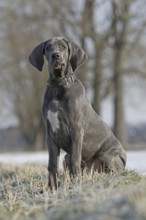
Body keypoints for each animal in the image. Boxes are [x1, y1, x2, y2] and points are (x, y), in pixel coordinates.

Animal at [28, 37, 126, 190]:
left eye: (63, 46)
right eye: (48, 48)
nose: (55, 55)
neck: (58, 86)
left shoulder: (76, 130)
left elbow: (75, 160)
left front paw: (75, 186)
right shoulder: (50, 135)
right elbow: (52, 165)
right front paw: (52, 189)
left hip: (108, 156)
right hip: (66, 158)